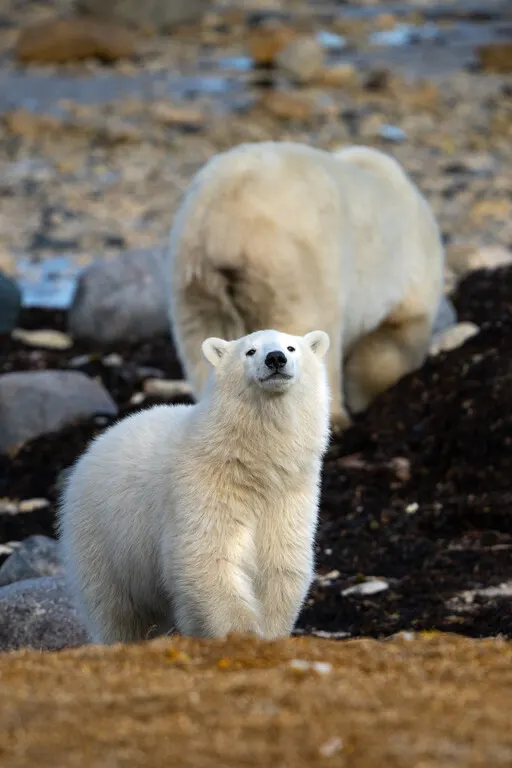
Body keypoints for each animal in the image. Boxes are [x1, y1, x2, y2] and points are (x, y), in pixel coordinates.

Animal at [57, 328, 331, 645]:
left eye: (291, 347)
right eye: (250, 351)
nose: (275, 358)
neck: (250, 464)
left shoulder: (288, 496)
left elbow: (279, 564)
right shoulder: (204, 488)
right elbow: (209, 560)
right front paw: (242, 636)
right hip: (103, 539)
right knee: (119, 613)